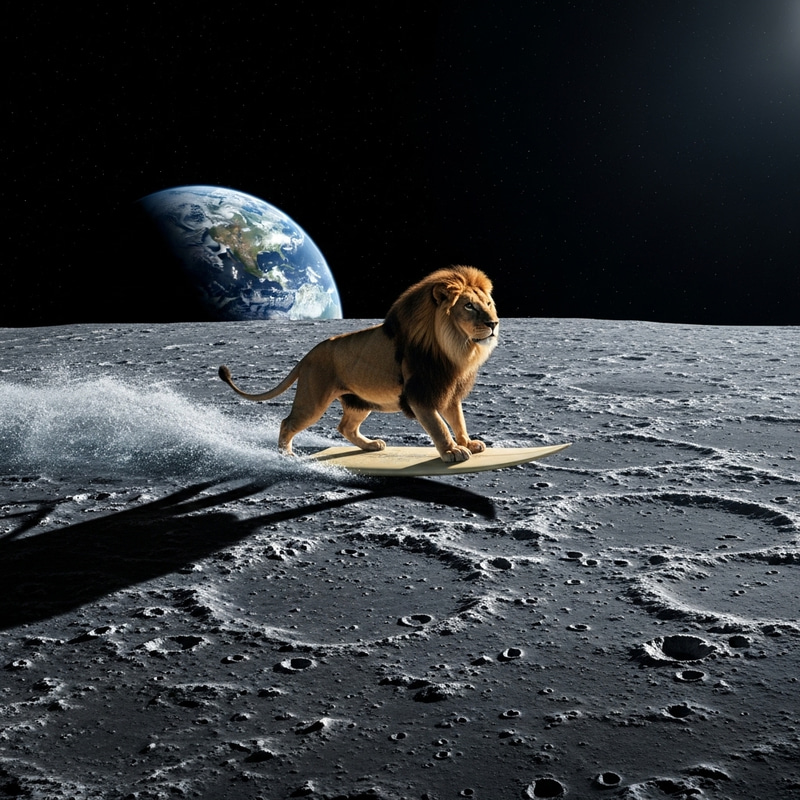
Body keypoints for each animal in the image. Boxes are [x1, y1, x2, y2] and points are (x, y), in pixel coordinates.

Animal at [218, 265, 499, 462]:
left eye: (488, 304)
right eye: (469, 306)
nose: (494, 323)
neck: (455, 347)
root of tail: (308, 355)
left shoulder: (448, 389)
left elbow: (458, 420)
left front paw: (468, 443)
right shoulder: (420, 394)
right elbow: (439, 426)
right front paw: (452, 451)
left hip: (360, 401)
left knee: (345, 427)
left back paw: (371, 445)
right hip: (312, 401)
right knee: (287, 422)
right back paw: (285, 455)